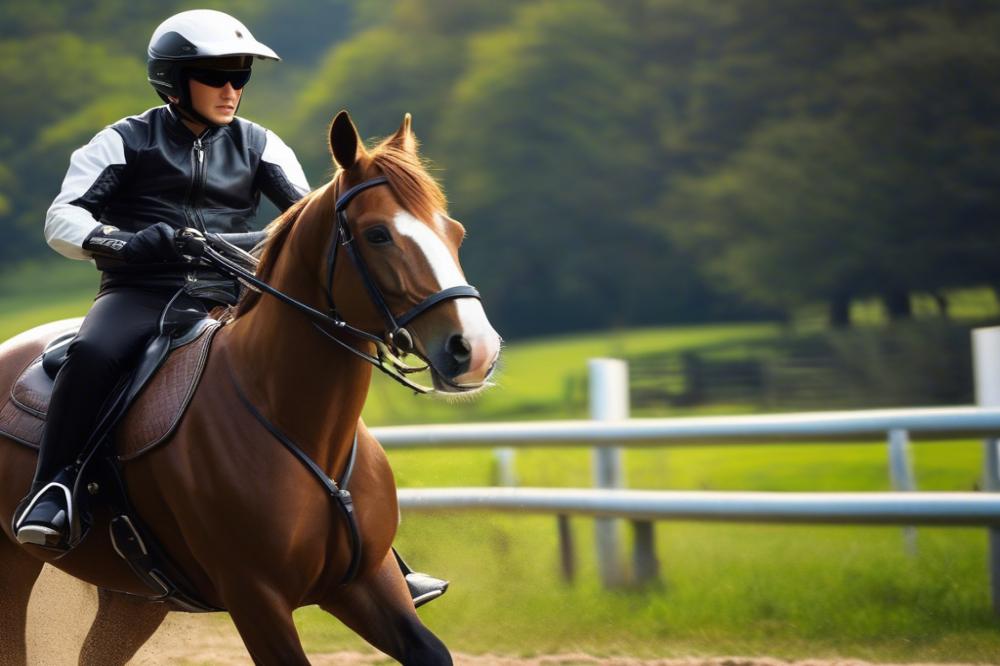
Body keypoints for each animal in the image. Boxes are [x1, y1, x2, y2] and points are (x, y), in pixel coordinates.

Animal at [0, 110, 500, 664]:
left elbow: (430, 649)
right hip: (15, 570)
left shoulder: (366, 583)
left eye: (454, 231)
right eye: (377, 235)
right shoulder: (256, 599)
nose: (476, 349)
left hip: (133, 602)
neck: (296, 425)